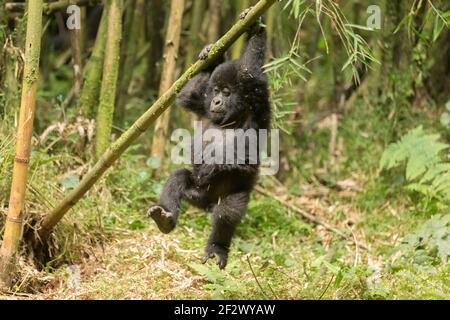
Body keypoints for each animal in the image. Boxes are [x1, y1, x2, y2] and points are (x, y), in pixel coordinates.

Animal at [148, 18, 268, 270]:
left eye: (227, 92)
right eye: (215, 91)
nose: (216, 101)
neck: (234, 116)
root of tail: (206, 205)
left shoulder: (258, 102)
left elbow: (250, 72)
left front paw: (256, 27)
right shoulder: (202, 104)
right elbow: (187, 96)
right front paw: (212, 54)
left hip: (232, 195)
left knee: (227, 212)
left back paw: (217, 247)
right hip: (196, 194)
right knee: (179, 178)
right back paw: (165, 218)